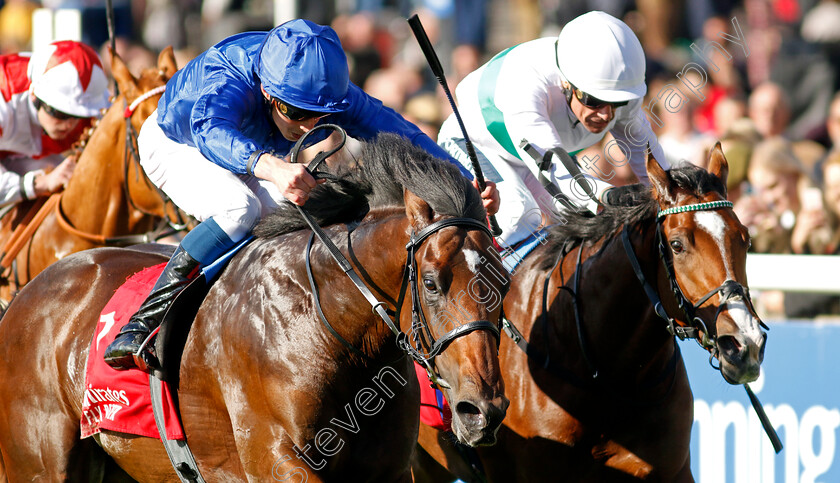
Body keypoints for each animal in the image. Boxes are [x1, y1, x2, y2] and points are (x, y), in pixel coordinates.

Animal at [0, 134, 508, 482]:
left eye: (501, 284)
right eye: (431, 283)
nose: (481, 410)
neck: (324, 321)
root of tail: (22, 297)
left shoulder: (388, 470)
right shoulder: (276, 461)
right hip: (39, 464)